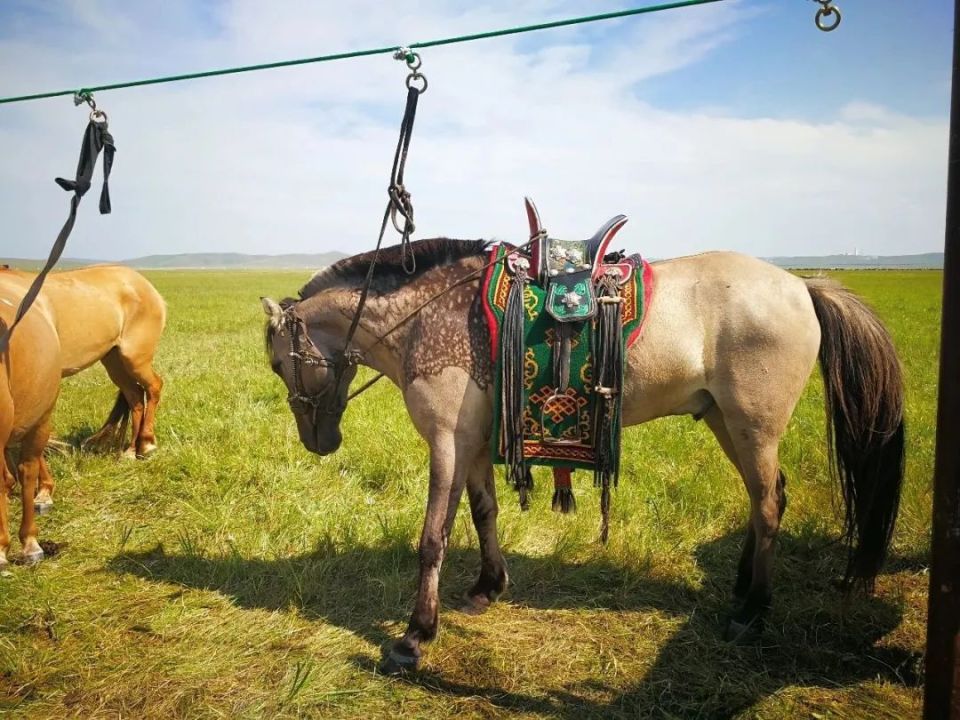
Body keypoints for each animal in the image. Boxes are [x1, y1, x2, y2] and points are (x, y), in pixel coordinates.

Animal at [1, 265, 166, 512]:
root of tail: (144, 284)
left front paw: (43, 492)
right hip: (114, 360)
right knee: (135, 397)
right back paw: (130, 451)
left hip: (135, 358)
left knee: (154, 387)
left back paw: (146, 444)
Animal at [261, 231, 904, 674]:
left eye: (275, 363)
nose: (319, 441)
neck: (425, 317)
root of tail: (802, 285)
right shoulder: (472, 442)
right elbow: (484, 513)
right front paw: (487, 588)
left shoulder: (444, 440)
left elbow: (432, 538)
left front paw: (414, 636)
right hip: (727, 421)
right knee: (763, 499)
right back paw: (743, 589)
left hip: (754, 425)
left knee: (768, 504)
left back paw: (752, 613)